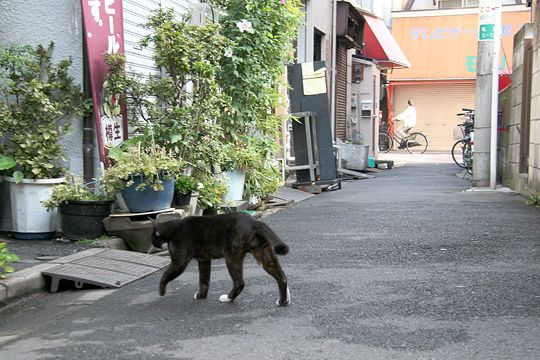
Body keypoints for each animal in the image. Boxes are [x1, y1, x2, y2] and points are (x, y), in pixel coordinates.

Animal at [152, 212, 292, 308]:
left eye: (152, 235)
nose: (153, 244)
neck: (173, 229)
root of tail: (254, 221)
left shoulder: (178, 262)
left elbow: (166, 275)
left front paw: (161, 291)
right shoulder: (204, 260)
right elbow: (204, 281)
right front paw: (201, 296)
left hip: (231, 255)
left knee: (239, 282)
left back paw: (227, 298)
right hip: (262, 253)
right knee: (281, 276)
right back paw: (283, 301)